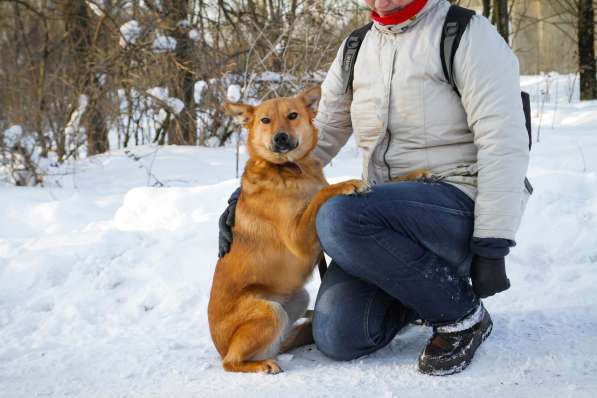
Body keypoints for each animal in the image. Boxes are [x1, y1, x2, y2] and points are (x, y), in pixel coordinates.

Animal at [210, 85, 368, 374]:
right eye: (265, 120)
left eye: (293, 115)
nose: (280, 137)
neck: (289, 168)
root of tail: (220, 348)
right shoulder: (297, 238)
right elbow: (321, 195)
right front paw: (348, 183)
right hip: (270, 312)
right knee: (232, 363)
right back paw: (261, 365)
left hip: (298, 298)